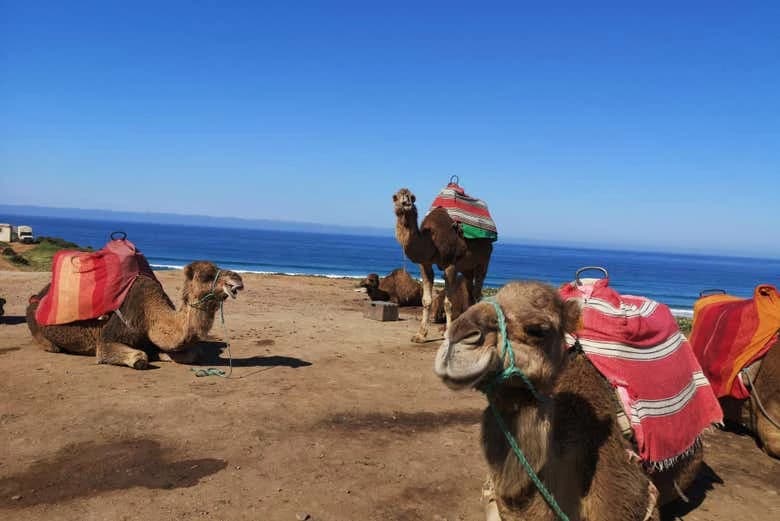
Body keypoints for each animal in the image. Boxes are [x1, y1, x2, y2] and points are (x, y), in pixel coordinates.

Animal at [26, 261, 244, 369]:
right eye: (207, 276)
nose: (237, 279)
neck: (149, 314)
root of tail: (37, 296)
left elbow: (193, 354)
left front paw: (163, 354)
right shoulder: (108, 338)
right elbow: (138, 356)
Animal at [393, 188, 493, 342]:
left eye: (412, 197)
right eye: (395, 197)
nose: (406, 203)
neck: (431, 241)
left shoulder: (450, 265)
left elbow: (448, 303)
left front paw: (447, 333)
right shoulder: (425, 264)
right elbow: (426, 300)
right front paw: (420, 335)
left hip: (484, 260)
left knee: (477, 292)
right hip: (467, 268)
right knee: (470, 292)